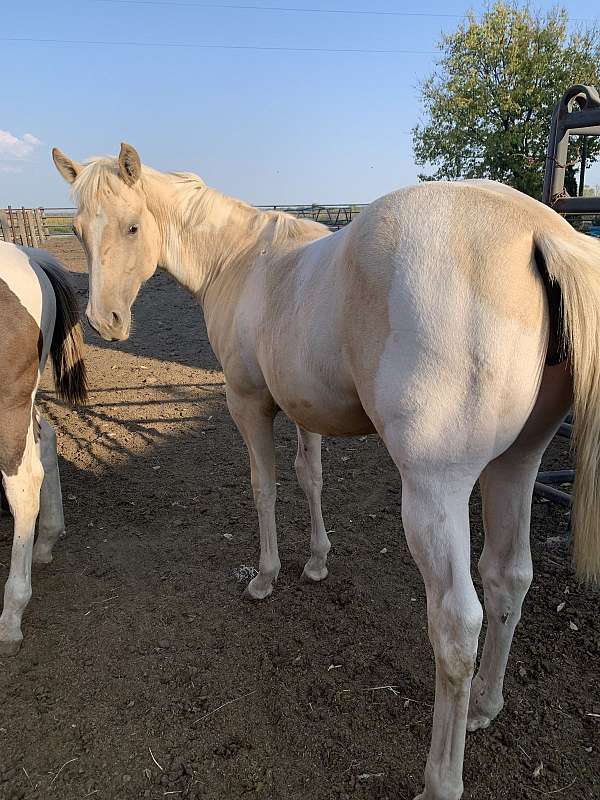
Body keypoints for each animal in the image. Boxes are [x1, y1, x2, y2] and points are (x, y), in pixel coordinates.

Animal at [52, 145, 600, 800]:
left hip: (434, 493)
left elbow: (264, 488)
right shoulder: (302, 407)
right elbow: (309, 478)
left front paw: (266, 576)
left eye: (133, 227)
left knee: (456, 624)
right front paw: (316, 561)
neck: (242, 260)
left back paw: (440, 778)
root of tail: (539, 230)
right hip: (515, 464)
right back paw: (485, 706)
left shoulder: (249, 404)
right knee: (508, 578)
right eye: (78, 230)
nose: (105, 320)